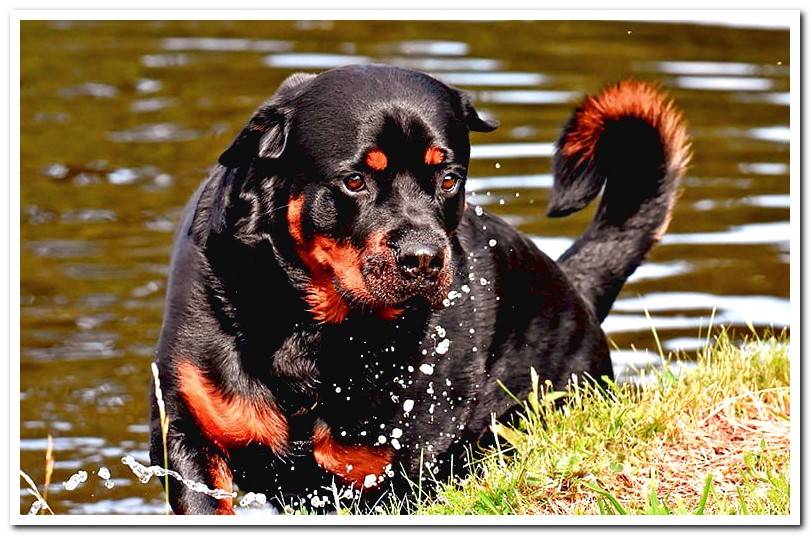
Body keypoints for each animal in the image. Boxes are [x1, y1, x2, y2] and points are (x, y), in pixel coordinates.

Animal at [149, 65, 688, 512]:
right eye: (354, 180)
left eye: (449, 179)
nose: (424, 257)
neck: (310, 333)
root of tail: (572, 285)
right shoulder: (188, 434)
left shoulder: (398, 470)